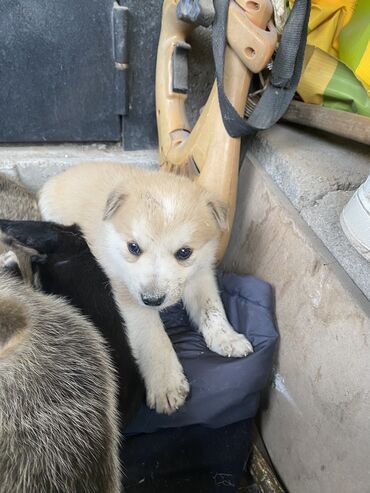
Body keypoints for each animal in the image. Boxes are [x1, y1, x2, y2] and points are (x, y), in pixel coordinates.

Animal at [39, 163, 254, 414]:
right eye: (133, 248)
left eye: (184, 252)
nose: (153, 300)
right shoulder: (128, 292)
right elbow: (153, 336)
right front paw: (166, 384)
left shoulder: (201, 272)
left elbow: (212, 308)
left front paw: (227, 337)